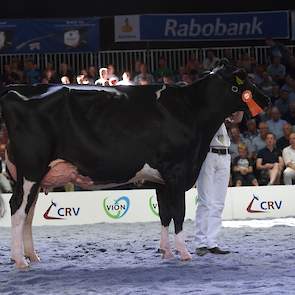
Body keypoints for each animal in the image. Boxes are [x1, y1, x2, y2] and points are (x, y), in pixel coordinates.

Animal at [0, 63, 270, 270]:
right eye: (245, 81)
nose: (266, 99)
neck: (191, 110)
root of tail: (15, 91)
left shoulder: (161, 179)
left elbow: (164, 214)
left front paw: (166, 252)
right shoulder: (176, 171)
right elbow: (179, 214)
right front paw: (184, 253)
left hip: (34, 176)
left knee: (28, 213)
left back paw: (32, 256)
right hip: (30, 170)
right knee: (17, 208)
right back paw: (19, 261)